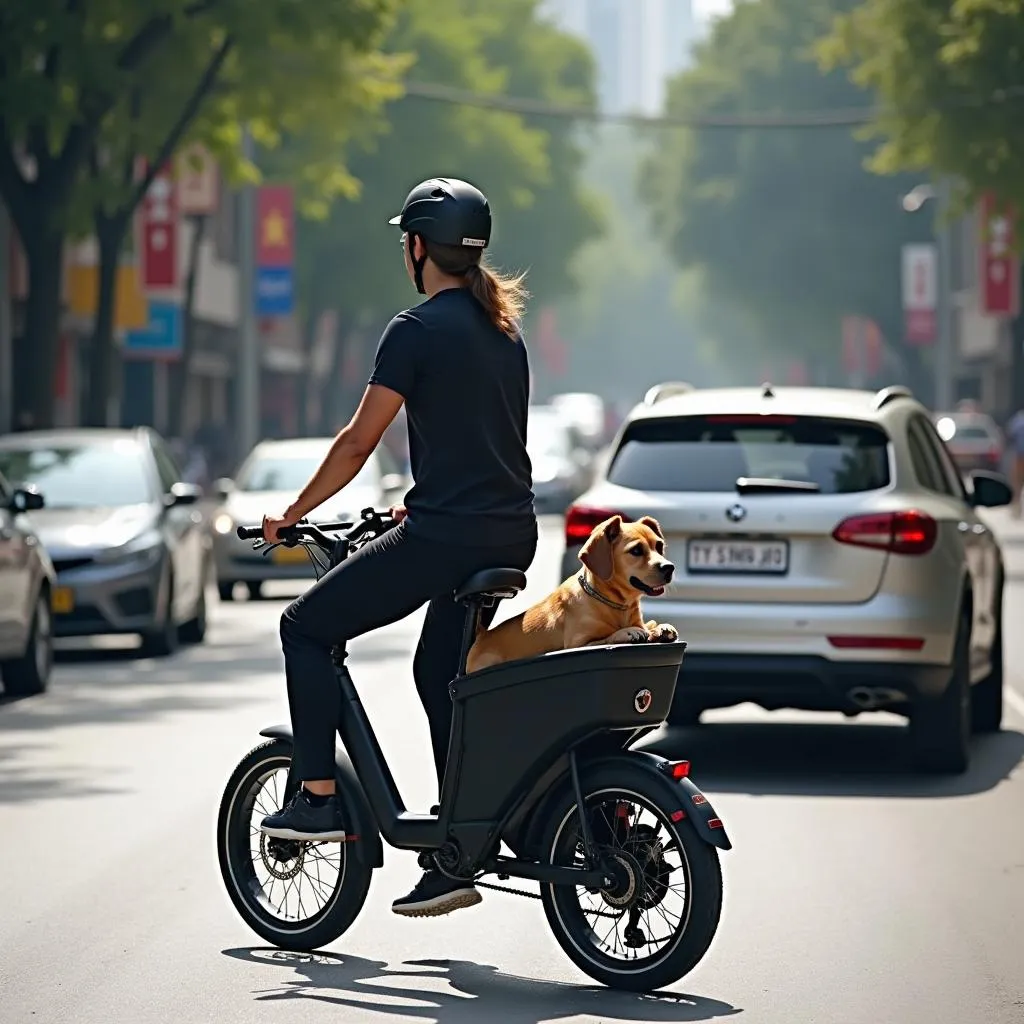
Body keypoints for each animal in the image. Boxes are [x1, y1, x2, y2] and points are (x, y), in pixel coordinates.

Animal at [466, 516, 679, 675]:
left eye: (659, 546)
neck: (614, 604)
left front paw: (659, 628)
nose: (669, 567)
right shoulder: (578, 645)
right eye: (636, 550)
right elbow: (606, 638)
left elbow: (648, 626)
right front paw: (625, 632)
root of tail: (481, 636)